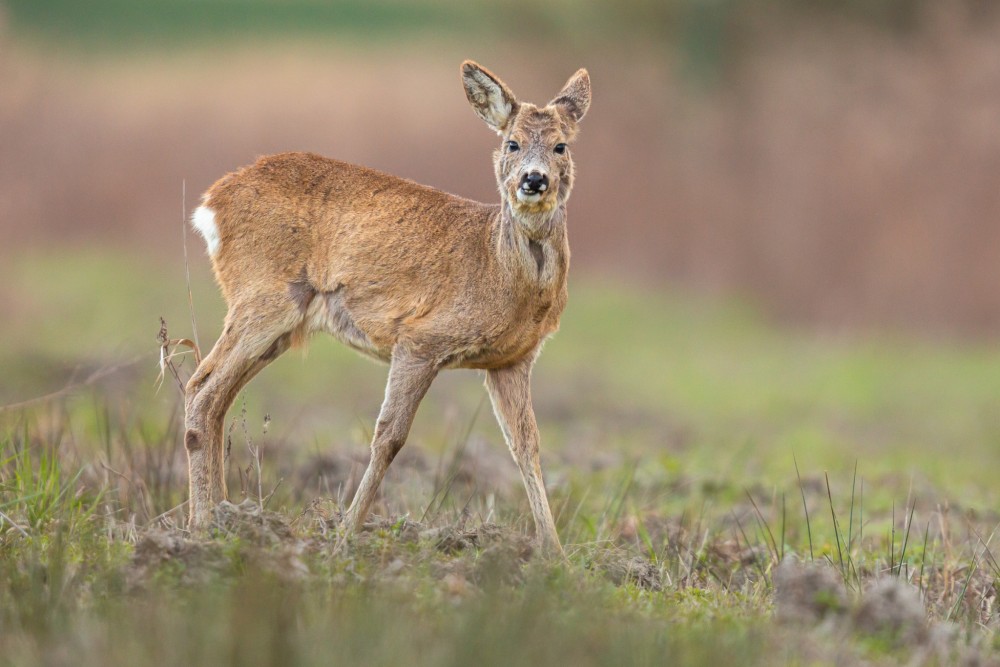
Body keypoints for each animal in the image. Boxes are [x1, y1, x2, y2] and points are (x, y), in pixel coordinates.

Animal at [185, 61, 588, 552]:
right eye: (511, 142)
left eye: (561, 145)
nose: (534, 179)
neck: (497, 267)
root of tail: (211, 204)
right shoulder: (420, 338)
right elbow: (389, 437)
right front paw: (345, 536)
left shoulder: (512, 360)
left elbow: (526, 447)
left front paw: (555, 553)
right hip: (262, 296)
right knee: (202, 390)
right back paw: (202, 527)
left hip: (275, 322)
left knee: (212, 394)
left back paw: (221, 519)